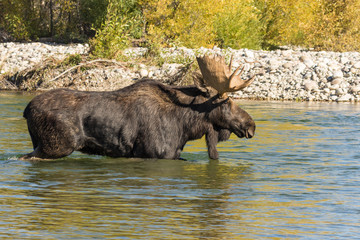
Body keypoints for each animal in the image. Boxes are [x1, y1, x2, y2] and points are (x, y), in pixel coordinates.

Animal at [20, 54, 256, 159]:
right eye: (227, 102)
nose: (251, 125)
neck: (186, 127)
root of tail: (26, 110)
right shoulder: (155, 154)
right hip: (55, 147)